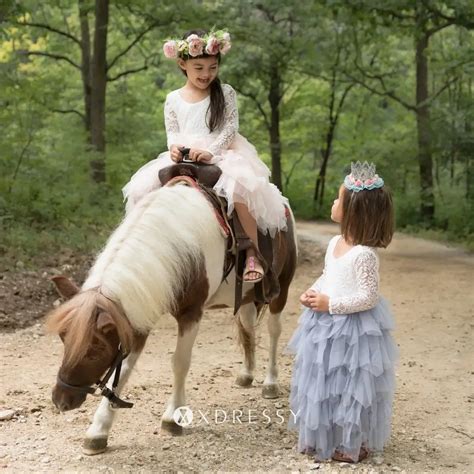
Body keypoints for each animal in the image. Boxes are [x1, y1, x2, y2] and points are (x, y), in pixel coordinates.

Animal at [47, 183, 296, 454]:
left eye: (95, 351)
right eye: (63, 339)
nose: (61, 401)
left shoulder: (191, 313)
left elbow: (180, 363)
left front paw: (172, 418)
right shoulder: (136, 318)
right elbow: (122, 371)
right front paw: (98, 431)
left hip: (282, 289)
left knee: (273, 331)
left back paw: (270, 383)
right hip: (247, 300)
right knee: (248, 328)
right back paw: (247, 374)